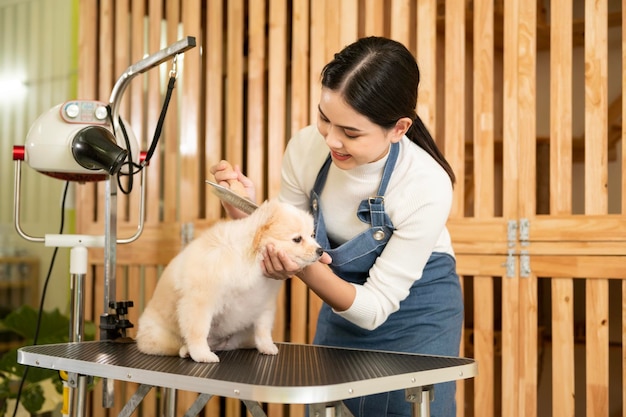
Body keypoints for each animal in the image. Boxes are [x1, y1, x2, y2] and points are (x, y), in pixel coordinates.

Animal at [136, 198, 322, 360]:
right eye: (297, 239)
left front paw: (267, 347)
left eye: (312, 235)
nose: (320, 251)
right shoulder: (199, 302)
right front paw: (202, 355)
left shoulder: (264, 303)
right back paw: (187, 351)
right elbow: (197, 331)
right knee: (176, 345)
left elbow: (263, 330)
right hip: (159, 337)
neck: (252, 261)